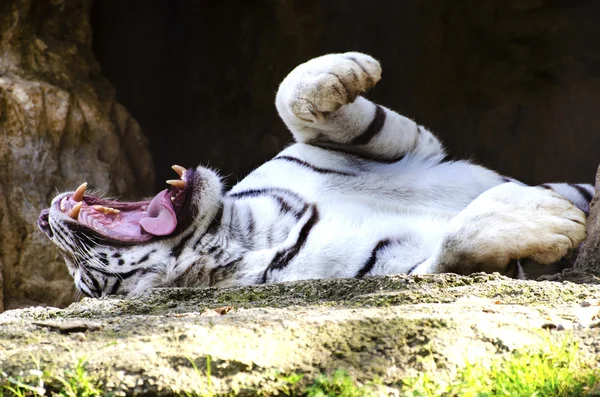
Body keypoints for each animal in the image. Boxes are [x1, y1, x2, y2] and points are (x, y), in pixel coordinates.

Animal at [37, 52, 592, 296]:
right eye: (89, 283)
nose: (43, 218)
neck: (238, 231)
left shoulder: (391, 148)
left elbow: (294, 93)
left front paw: (348, 71)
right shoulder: (392, 269)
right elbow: (454, 245)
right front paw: (550, 220)